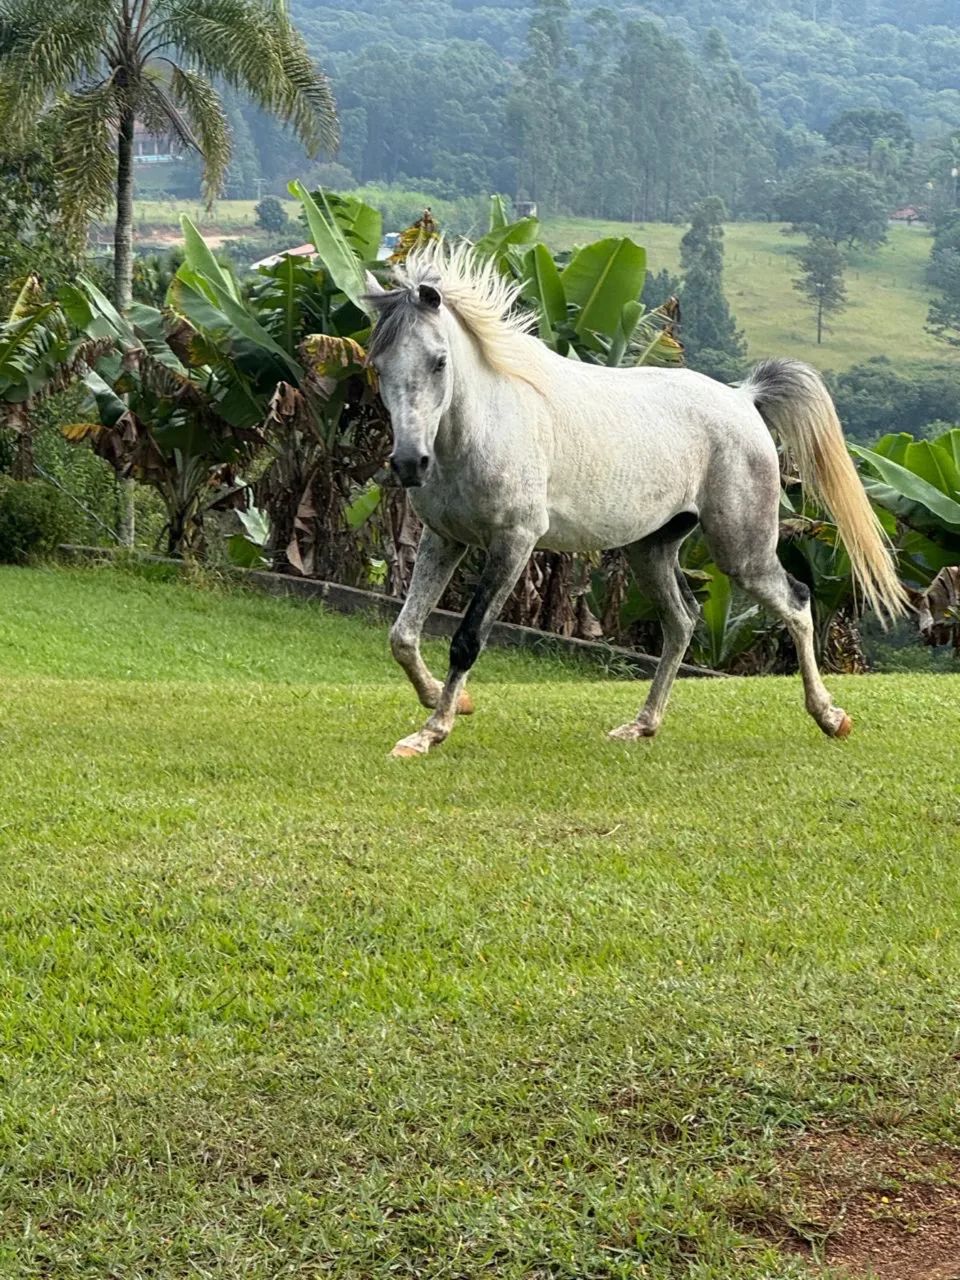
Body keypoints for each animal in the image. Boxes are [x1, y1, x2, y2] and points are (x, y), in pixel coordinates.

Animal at [364, 244, 906, 759]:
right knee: (682, 621)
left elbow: (466, 641)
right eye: (379, 365)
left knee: (795, 602)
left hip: (742, 551)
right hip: (651, 548)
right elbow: (402, 635)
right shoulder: (444, 539)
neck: (485, 427)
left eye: (439, 361)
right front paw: (445, 704)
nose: (410, 463)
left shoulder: (513, 542)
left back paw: (831, 717)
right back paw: (641, 725)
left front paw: (431, 732)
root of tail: (743, 398)